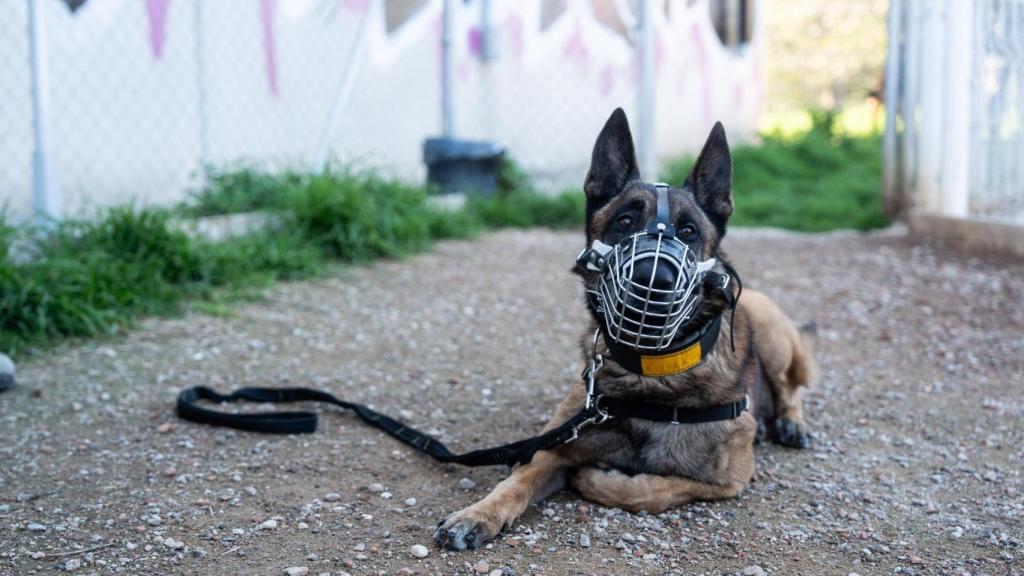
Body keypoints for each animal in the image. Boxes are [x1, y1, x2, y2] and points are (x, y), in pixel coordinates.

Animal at [432, 108, 815, 553]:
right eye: (624, 221)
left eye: (688, 231)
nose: (653, 277)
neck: (651, 372)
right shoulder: (552, 449)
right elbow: (515, 482)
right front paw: (476, 515)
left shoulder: (730, 479)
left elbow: (649, 490)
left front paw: (598, 478)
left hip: (772, 331)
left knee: (791, 388)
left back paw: (792, 422)